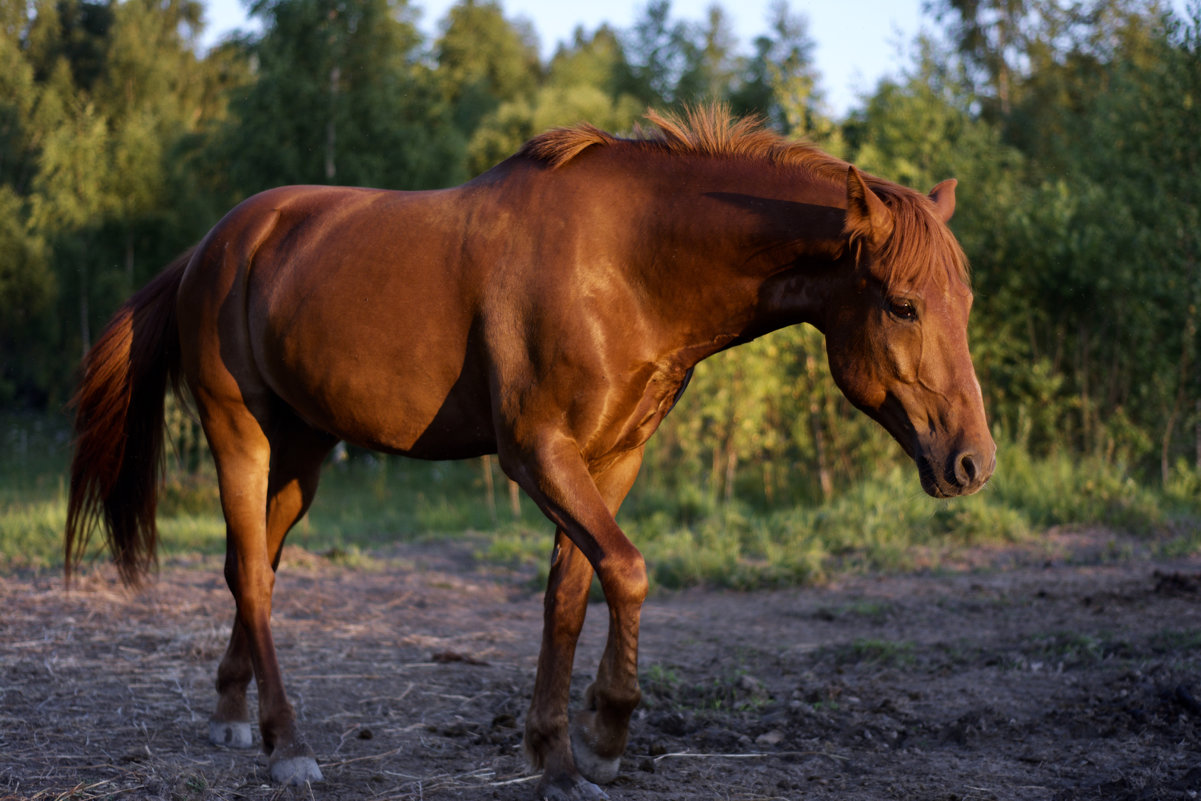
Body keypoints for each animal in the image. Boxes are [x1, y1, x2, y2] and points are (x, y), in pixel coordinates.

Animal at [65, 108, 994, 801]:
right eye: (903, 305)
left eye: (966, 300)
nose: (971, 462)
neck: (628, 262)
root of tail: (215, 244)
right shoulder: (537, 454)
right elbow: (628, 572)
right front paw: (606, 734)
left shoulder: (610, 459)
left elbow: (570, 595)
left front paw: (553, 753)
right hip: (242, 435)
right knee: (252, 574)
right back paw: (288, 745)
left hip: (303, 450)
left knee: (251, 564)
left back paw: (236, 713)